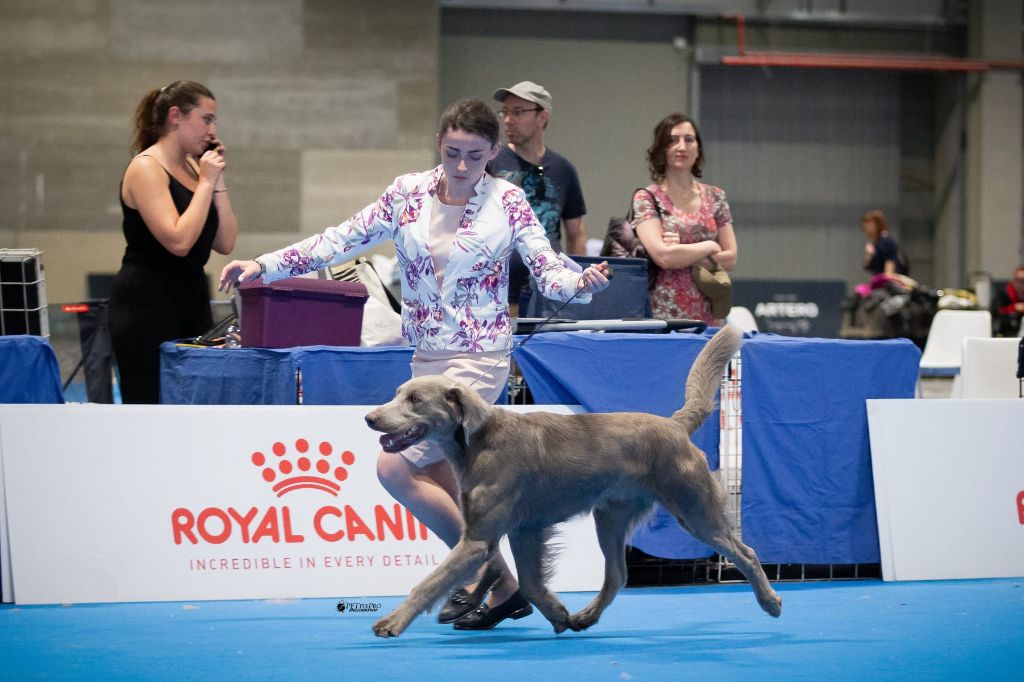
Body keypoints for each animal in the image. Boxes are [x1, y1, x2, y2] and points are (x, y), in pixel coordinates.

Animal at [364, 325, 778, 638]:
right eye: (398, 394)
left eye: (415, 399)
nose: (370, 417)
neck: (477, 440)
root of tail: (675, 425)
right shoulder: (525, 529)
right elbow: (530, 582)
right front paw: (558, 614)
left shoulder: (480, 538)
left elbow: (431, 581)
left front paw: (391, 622)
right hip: (611, 515)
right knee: (617, 575)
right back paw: (585, 617)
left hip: (693, 507)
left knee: (746, 552)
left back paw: (770, 601)